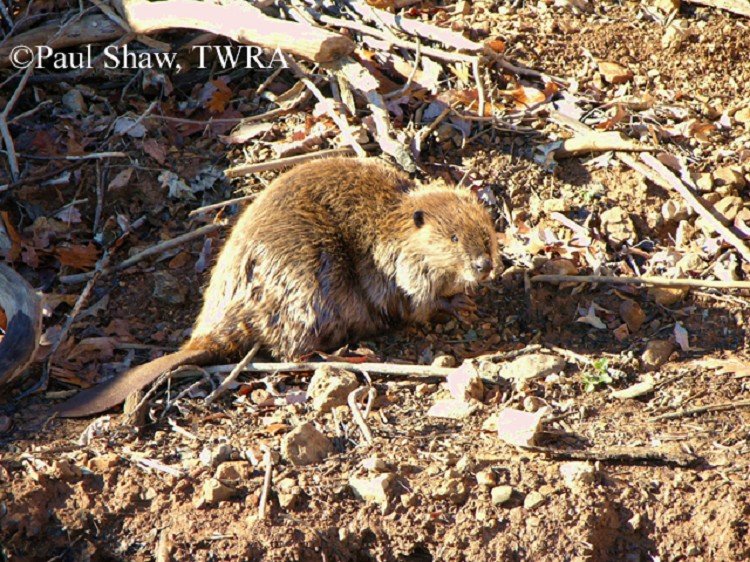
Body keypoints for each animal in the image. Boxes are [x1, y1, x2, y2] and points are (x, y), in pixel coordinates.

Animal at [57, 158, 500, 416]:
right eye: (453, 239)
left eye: (487, 232)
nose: (484, 265)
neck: (394, 224)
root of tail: (209, 333)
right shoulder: (395, 268)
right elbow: (415, 304)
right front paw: (459, 303)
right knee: (295, 349)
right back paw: (350, 353)